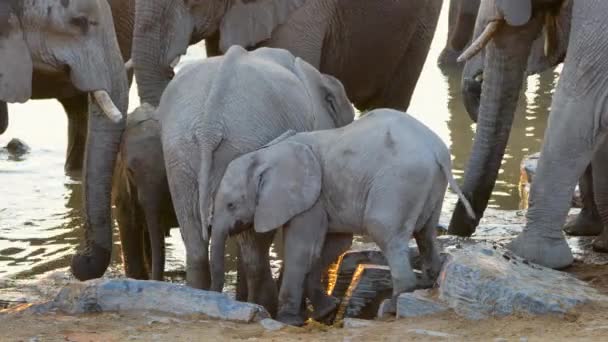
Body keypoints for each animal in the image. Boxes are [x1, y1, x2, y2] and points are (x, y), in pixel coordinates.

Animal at [159, 46, 354, 314]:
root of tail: (209, 127)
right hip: (243, 141)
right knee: (254, 250)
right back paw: (264, 306)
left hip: (179, 154)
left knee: (196, 243)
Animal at [209, 109, 476, 326]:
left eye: (231, 205)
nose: (216, 294)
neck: (269, 152)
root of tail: (437, 151)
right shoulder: (326, 198)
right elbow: (333, 246)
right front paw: (325, 312)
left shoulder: (311, 198)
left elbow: (302, 250)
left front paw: (288, 320)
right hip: (430, 186)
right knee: (426, 234)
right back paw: (427, 283)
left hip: (399, 185)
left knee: (386, 233)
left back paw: (391, 307)